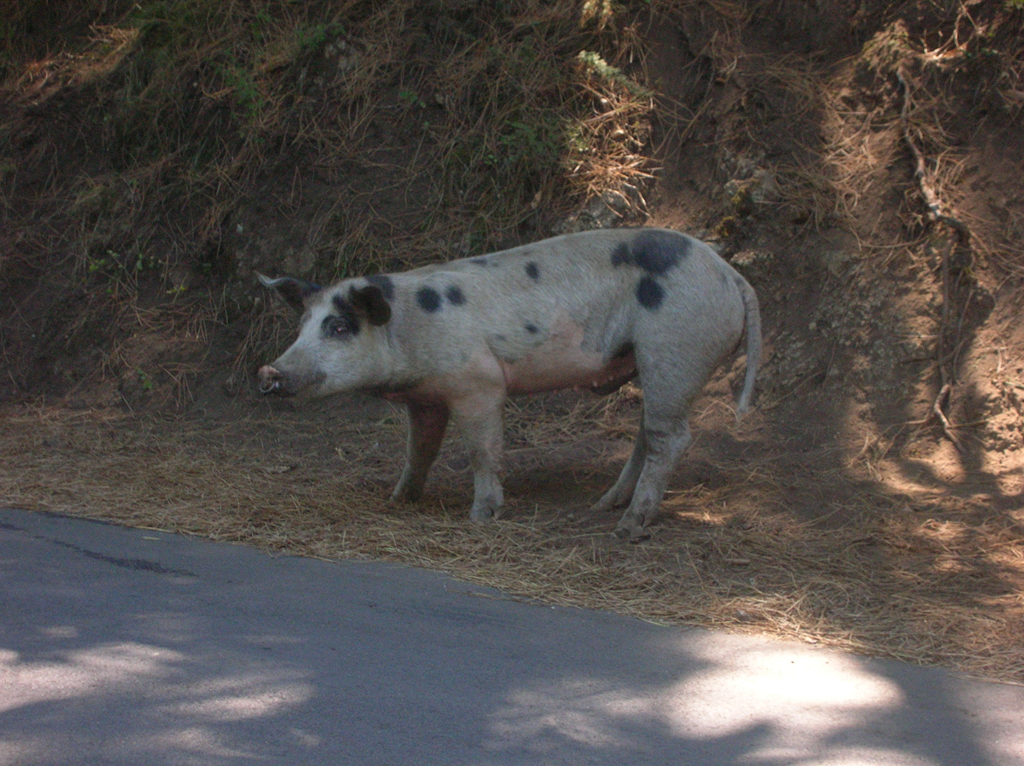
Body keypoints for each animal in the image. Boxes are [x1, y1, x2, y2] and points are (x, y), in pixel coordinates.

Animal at [258, 226, 761, 536]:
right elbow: (419, 451)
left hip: (675, 349)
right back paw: (604, 506)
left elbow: (483, 452)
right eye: (302, 326)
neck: (408, 329)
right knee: (648, 433)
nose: (270, 372)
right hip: (654, 364)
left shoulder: (477, 383)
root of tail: (732, 277)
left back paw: (627, 529)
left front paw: (480, 518)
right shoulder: (426, 399)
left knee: (672, 437)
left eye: (339, 327)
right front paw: (397, 500)